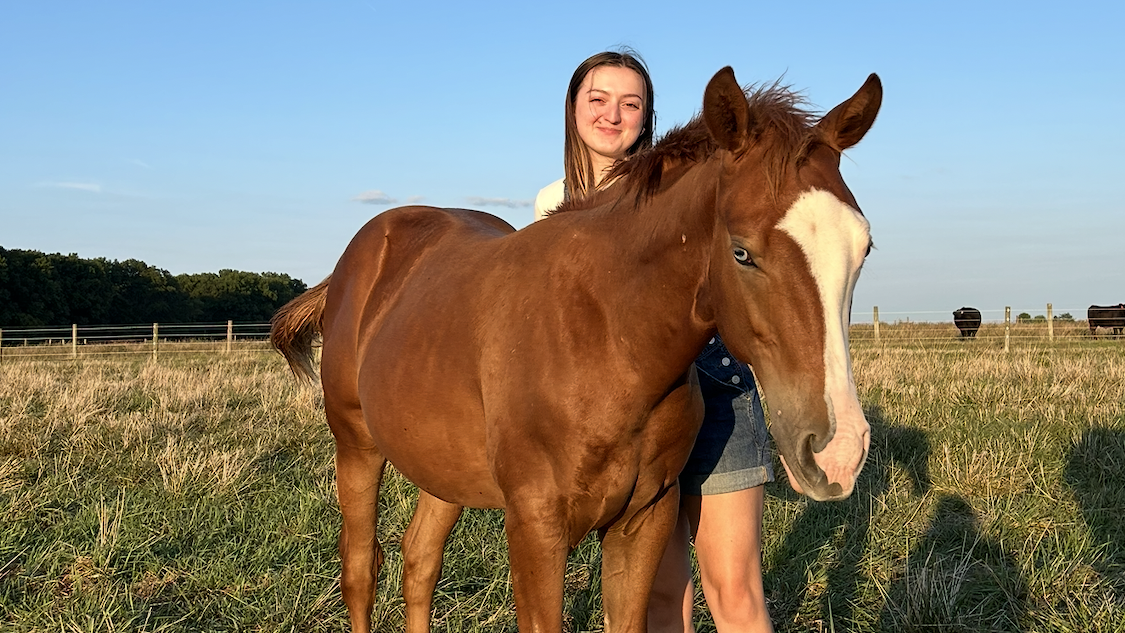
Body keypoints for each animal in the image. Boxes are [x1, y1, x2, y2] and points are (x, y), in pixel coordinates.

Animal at [271, 66, 881, 633]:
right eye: (741, 252)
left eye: (865, 248)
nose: (838, 452)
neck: (607, 337)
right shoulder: (535, 527)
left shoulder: (644, 520)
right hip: (356, 446)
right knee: (360, 569)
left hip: (441, 465)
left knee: (419, 560)